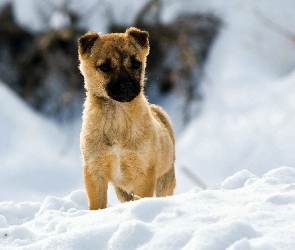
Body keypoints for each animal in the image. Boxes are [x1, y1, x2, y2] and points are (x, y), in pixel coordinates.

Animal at [78, 26, 176, 209]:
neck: (117, 120)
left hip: (165, 180)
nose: (127, 86)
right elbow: (97, 205)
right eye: (105, 67)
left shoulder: (144, 173)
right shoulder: (94, 172)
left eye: (136, 64)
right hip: (122, 191)